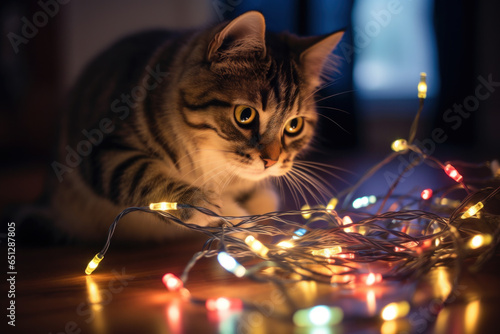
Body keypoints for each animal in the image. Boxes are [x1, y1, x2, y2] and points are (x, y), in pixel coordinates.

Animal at [47, 9, 344, 240]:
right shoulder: (105, 148)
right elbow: (144, 175)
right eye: (245, 115)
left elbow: (264, 198)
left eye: (294, 125)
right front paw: (207, 206)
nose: (271, 161)